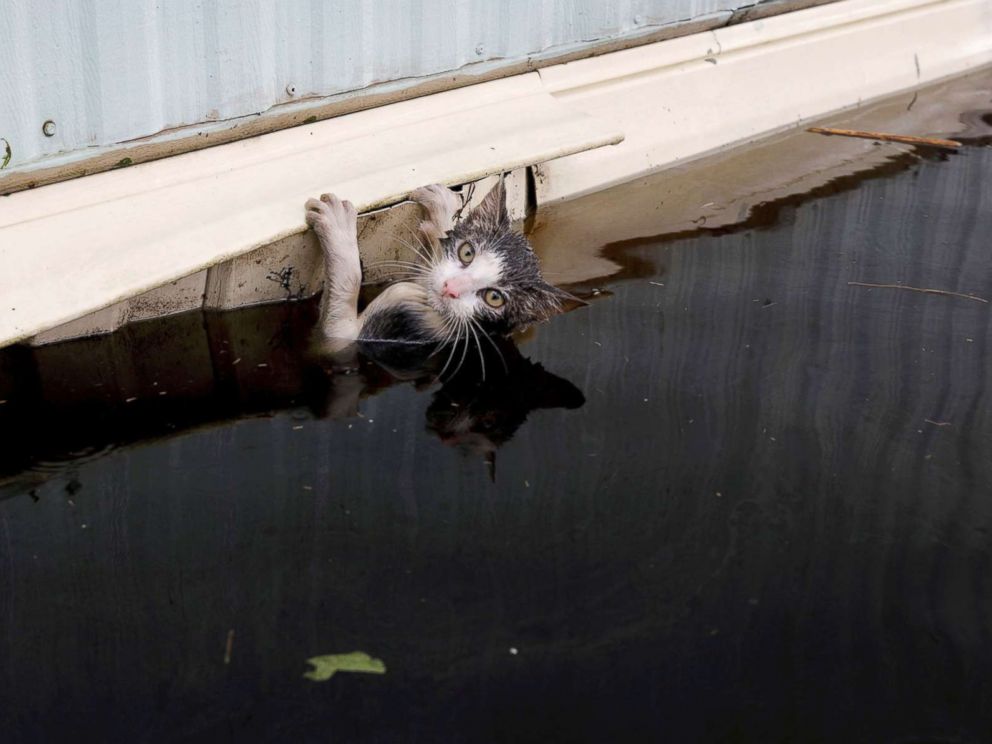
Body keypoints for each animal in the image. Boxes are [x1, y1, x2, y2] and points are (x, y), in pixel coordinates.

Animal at [306, 181, 576, 372]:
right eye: (467, 252)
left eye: (494, 298)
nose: (451, 288)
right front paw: (441, 208)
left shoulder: (354, 339)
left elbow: (339, 316)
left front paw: (337, 226)